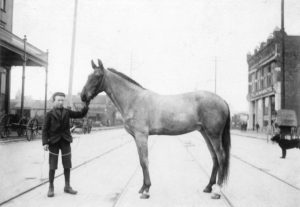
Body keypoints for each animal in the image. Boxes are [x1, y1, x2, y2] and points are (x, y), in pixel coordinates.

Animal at [81, 58, 231, 199]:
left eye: (97, 76)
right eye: (88, 76)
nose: (83, 96)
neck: (134, 99)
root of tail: (222, 101)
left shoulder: (141, 135)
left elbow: (144, 161)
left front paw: (146, 190)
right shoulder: (137, 137)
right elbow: (141, 161)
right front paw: (142, 188)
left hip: (213, 135)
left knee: (221, 157)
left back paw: (217, 192)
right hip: (205, 133)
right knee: (214, 158)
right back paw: (208, 187)